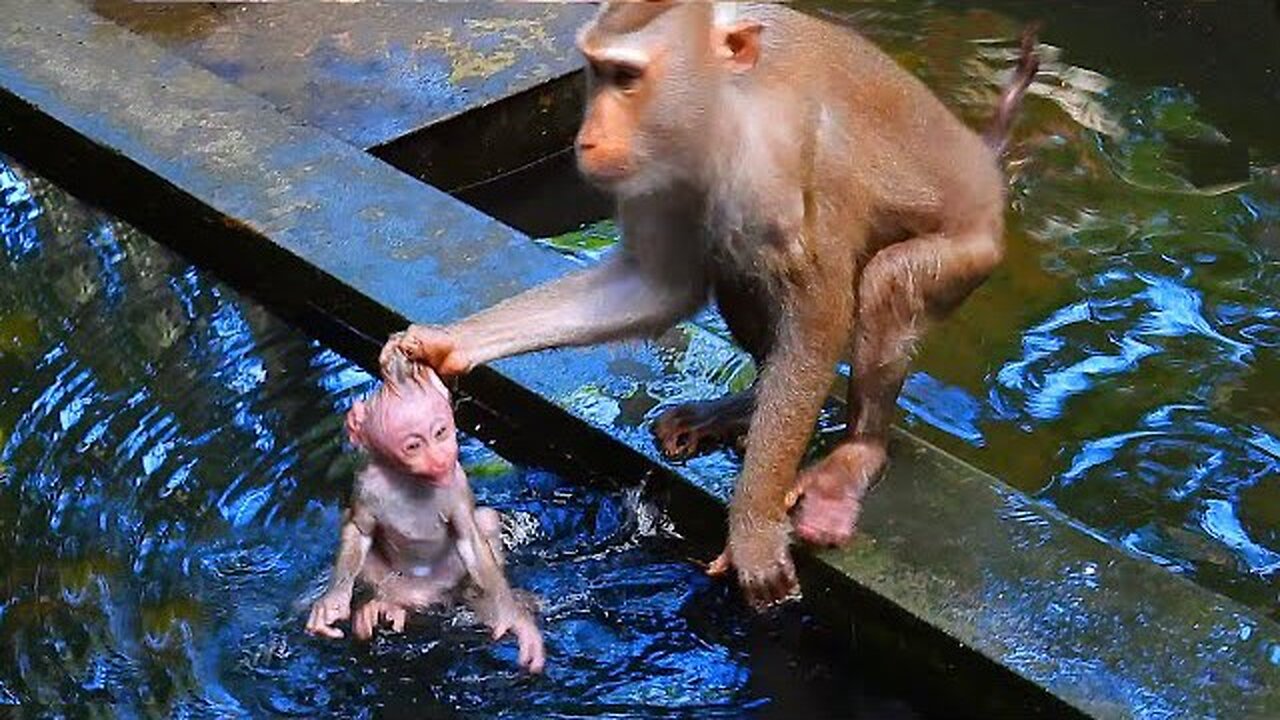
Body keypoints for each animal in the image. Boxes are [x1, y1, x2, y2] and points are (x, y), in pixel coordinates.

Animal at [304, 348, 545, 671]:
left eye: (440, 432)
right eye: (414, 445)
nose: (440, 456)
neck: (411, 480)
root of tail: (423, 596)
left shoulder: (456, 483)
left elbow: (469, 538)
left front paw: (513, 618)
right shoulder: (366, 482)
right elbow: (359, 529)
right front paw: (333, 603)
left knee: (486, 520)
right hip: (397, 584)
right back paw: (383, 607)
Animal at [381, 1, 1039, 604]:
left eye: (626, 77)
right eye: (595, 71)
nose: (587, 136)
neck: (721, 117)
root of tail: (986, 172)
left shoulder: (776, 163)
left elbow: (818, 317)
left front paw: (752, 531)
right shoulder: (655, 173)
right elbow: (657, 287)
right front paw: (446, 343)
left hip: (971, 250)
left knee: (888, 281)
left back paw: (856, 453)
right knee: (735, 270)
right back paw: (740, 409)